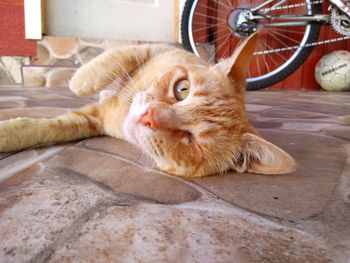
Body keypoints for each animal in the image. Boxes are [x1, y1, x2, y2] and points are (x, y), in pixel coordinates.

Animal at [0, 33, 296, 177]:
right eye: (182, 89)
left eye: (189, 139)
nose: (150, 116)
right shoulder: (157, 49)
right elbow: (120, 54)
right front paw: (83, 79)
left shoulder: (94, 121)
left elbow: (58, 126)